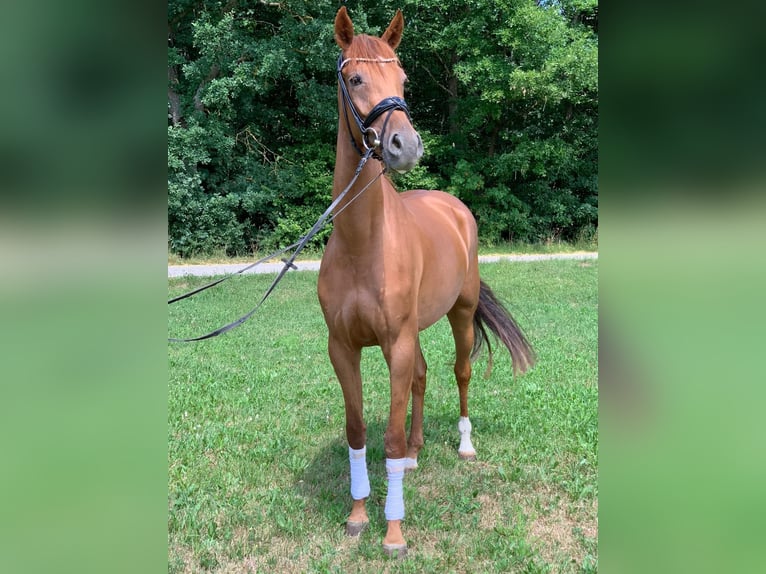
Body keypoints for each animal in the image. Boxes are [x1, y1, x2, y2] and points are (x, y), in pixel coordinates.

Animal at [317, 7, 535, 558]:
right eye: (355, 78)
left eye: (403, 80)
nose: (406, 145)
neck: (363, 242)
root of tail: (453, 206)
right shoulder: (343, 347)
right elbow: (357, 431)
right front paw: (357, 515)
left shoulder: (395, 341)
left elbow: (389, 438)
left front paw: (393, 531)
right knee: (420, 377)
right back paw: (417, 452)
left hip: (460, 314)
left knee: (460, 372)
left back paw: (464, 445)